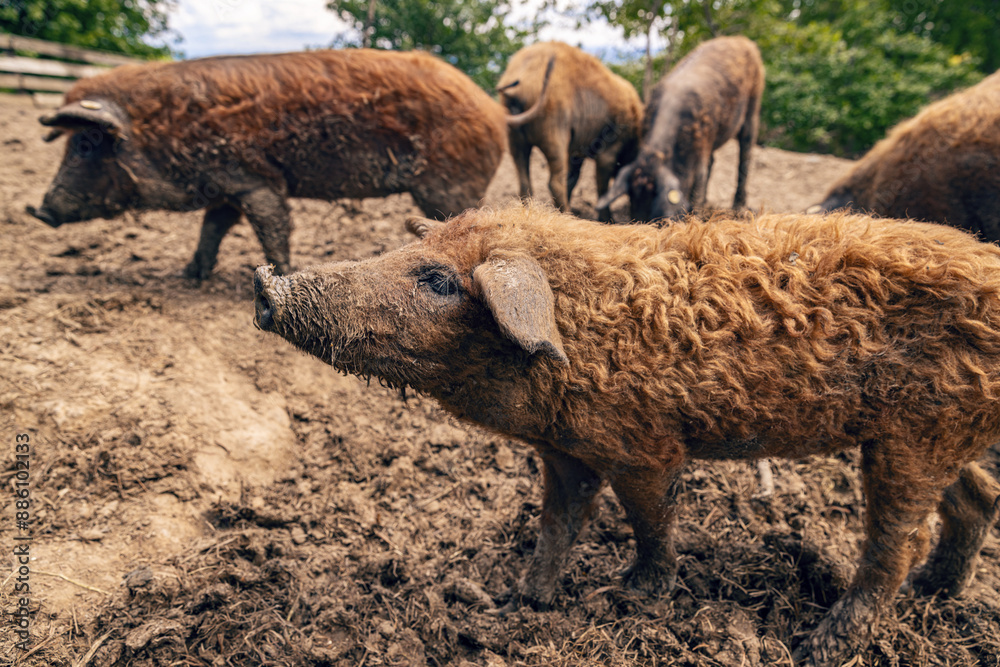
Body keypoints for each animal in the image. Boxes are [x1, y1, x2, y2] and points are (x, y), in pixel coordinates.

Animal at [27, 49, 516, 279]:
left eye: (86, 144)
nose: (40, 210)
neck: (166, 128)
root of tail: (489, 107)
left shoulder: (255, 179)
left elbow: (271, 224)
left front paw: (280, 273)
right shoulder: (225, 185)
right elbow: (213, 226)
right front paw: (191, 275)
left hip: (448, 182)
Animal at [253, 203, 1000, 666]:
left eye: (437, 280)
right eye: (411, 249)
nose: (265, 285)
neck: (574, 334)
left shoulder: (644, 444)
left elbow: (649, 518)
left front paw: (632, 595)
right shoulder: (563, 450)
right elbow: (558, 520)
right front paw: (523, 600)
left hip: (917, 431)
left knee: (899, 541)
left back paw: (817, 646)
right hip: (935, 431)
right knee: (976, 498)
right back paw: (938, 591)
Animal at [496, 41, 643, 222]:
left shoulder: (576, 153)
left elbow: (573, 179)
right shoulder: (608, 151)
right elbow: (602, 185)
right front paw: (607, 220)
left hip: (516, 142)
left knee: (525, 183)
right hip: (554, 139)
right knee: (555, 182)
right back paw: (567, 215)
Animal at [598, 36, 764, 222]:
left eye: (654, 204)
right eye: (632, 201)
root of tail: (742, 40)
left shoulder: (699, 149)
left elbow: (698, 184)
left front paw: (693, 219)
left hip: (754, 104)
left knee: (745, 152)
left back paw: (738, 209)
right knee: (714, 160)